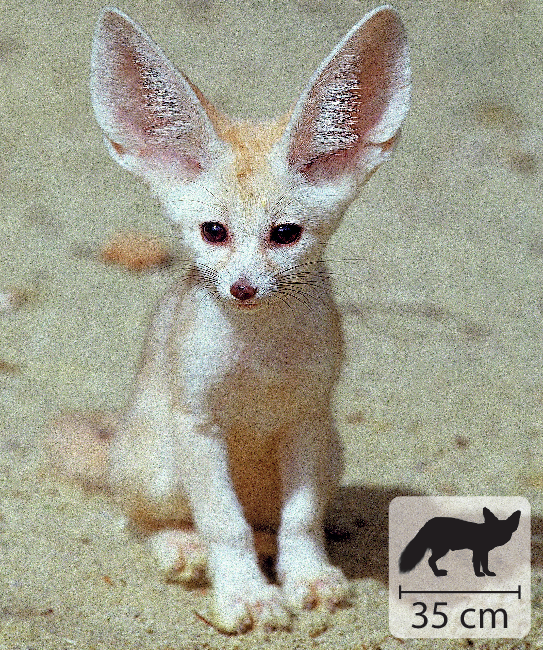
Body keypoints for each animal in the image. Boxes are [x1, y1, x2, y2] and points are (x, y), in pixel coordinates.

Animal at [51, 5, 410, 632]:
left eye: (285, 234)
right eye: (213, 232)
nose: (243, 288)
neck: (257, 353)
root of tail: (117, 444)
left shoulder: (306, 421)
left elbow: (301, 520)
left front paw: (307, 578)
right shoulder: (199, 426)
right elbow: (223, 524)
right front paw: (246, 594)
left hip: (331, 452)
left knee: (268, 521)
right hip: (161, 464)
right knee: (139, 518)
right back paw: (180, 546)